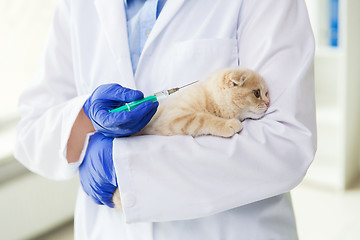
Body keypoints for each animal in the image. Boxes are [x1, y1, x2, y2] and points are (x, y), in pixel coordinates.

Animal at [111, 68, 268, 210]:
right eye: (256, 93)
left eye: (266, 93)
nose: (268, 102)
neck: (210, 99)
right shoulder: (174, 119)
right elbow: (203, 119)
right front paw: (227, 124)